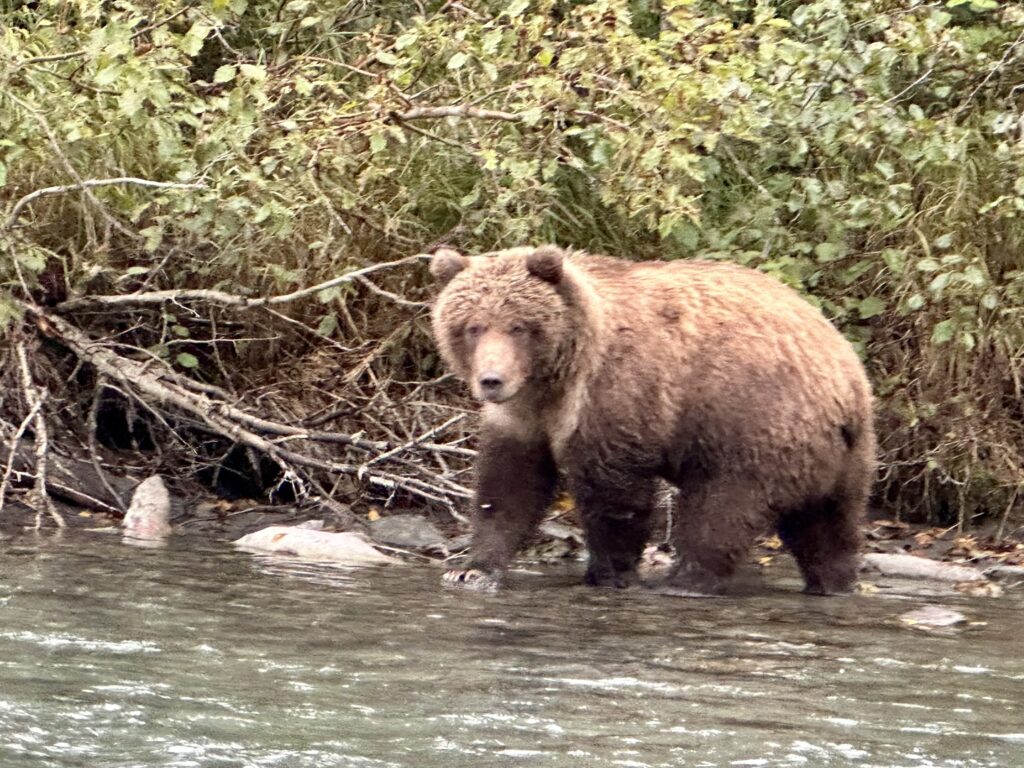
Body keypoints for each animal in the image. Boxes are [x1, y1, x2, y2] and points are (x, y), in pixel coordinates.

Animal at [428, 245, 875, 596]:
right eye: (473, 326)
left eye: (518, 326)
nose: (492, 380)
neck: (555, 378)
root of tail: (847, 381)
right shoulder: (524, 417)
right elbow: (509, 485)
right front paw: (472, 569)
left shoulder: (616, 394)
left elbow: (615, 494)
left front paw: (609, 573)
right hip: (841, 457)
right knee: (828, 526)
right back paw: (833, 583)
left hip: (753, 428)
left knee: (721, 511)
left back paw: (684, 582)